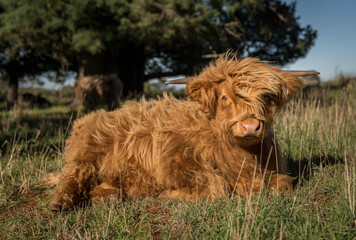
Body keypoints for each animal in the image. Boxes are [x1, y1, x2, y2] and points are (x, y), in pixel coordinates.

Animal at [43, 53, 318, 211]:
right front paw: (168, 194)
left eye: (266, 97)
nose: (250, 126)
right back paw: (59, 203)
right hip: (87, 152)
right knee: (73, 176)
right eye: (225, 97)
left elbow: (283, 184)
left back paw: (106, 194)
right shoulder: (175, 161)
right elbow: (216, 188)